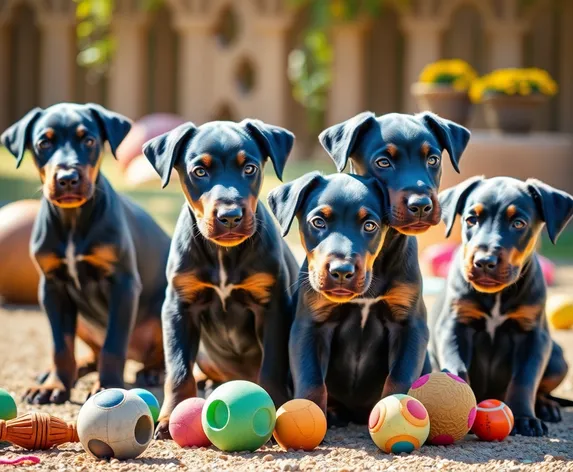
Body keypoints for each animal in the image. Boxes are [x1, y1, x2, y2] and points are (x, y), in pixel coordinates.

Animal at [0, 102, 170, 402]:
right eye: (44, 142)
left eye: (88, 140)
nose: (67, 178)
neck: (73, 221)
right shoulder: (52, 288)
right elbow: (61, 346)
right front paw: (54, 386)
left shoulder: (123, 284)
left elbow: (114, 345)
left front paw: (108, 385)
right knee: (91, 353)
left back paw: (153, 371)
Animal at [142, 118, 300, 438]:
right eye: (199, 171)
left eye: (249, 168)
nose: (230, 216)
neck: (223, 255)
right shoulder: (178, 307)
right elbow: (178, 368)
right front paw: (169, 417)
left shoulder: (273, 307)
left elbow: (272, 365)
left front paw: (277, 407)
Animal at [270, 173, 426, 424]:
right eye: (318, 222)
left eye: (369, 225)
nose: (342, 271)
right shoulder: (310, 325)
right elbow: (311, 380)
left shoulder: (409, 325)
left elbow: (400, 377)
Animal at [428, 175, 572, 436]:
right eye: (471, 219)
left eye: (518, 223)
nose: (484, 262)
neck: (496, 296)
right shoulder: (454, 325)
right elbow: (457, 366)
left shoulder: (533, 335)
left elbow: (525, 378)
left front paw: (525, 418)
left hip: (557, 359)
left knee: (542, 388)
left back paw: (546, 407)